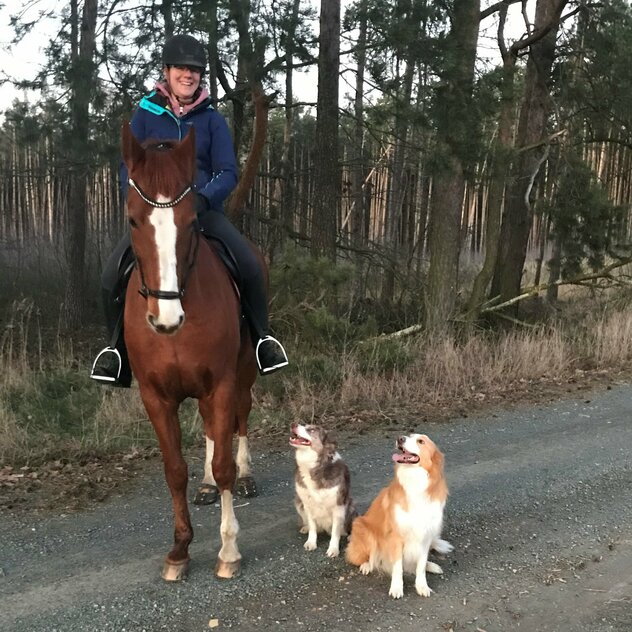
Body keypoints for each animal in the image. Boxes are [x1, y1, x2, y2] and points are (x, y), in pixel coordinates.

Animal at [121, 121, 260, 580]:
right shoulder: (156, 397)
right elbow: (175, 470)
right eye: (133, 219)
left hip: (244, 373)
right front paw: (179, 549)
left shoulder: (222, 383)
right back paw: (205, 488)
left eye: (191, 220)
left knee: (240, 419)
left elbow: (224, 466)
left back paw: (246, 475)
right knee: (210, 432)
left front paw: (229, 550)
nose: (165, 317)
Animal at [290, 424, 358, 556]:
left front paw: (333, 549)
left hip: (351, 505)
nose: (293, 424)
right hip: (297, 502)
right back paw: (305, 527)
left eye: (311, 430)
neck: (315, 466)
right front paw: (311, 543)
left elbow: (335, 532)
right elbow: (312, 527)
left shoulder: (338, 506)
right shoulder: (307, 504)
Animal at [346, 432, 454, 600]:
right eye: (409, 435)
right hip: (363, 527)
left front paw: (422, 586)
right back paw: (367, 565)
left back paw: (431, 566)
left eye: (420, 441)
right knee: (366, 556)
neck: (415, 481)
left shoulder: (425, 536)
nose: (400, 438)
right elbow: (398, 567)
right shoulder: (396, 537)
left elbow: (420, 566)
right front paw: (397, 588)